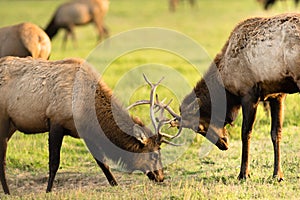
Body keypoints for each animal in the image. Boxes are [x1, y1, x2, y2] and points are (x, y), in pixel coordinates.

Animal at [0, 55, 179, 194]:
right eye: (155, 154)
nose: (161, 177)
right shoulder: (55, 120)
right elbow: (54, 163)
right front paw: (48, 191)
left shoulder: (86, 133)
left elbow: (103, 163)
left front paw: (115, 184)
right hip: (3, 121)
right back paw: (8, 192)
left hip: (11, 126)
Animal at [178, 13, 300, 180]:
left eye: (200, 128)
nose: (223, 144)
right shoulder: (277, 95)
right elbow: (276, 133)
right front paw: (277, 174)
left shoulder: (249, 94)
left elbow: (246, 133)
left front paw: (243, 173)